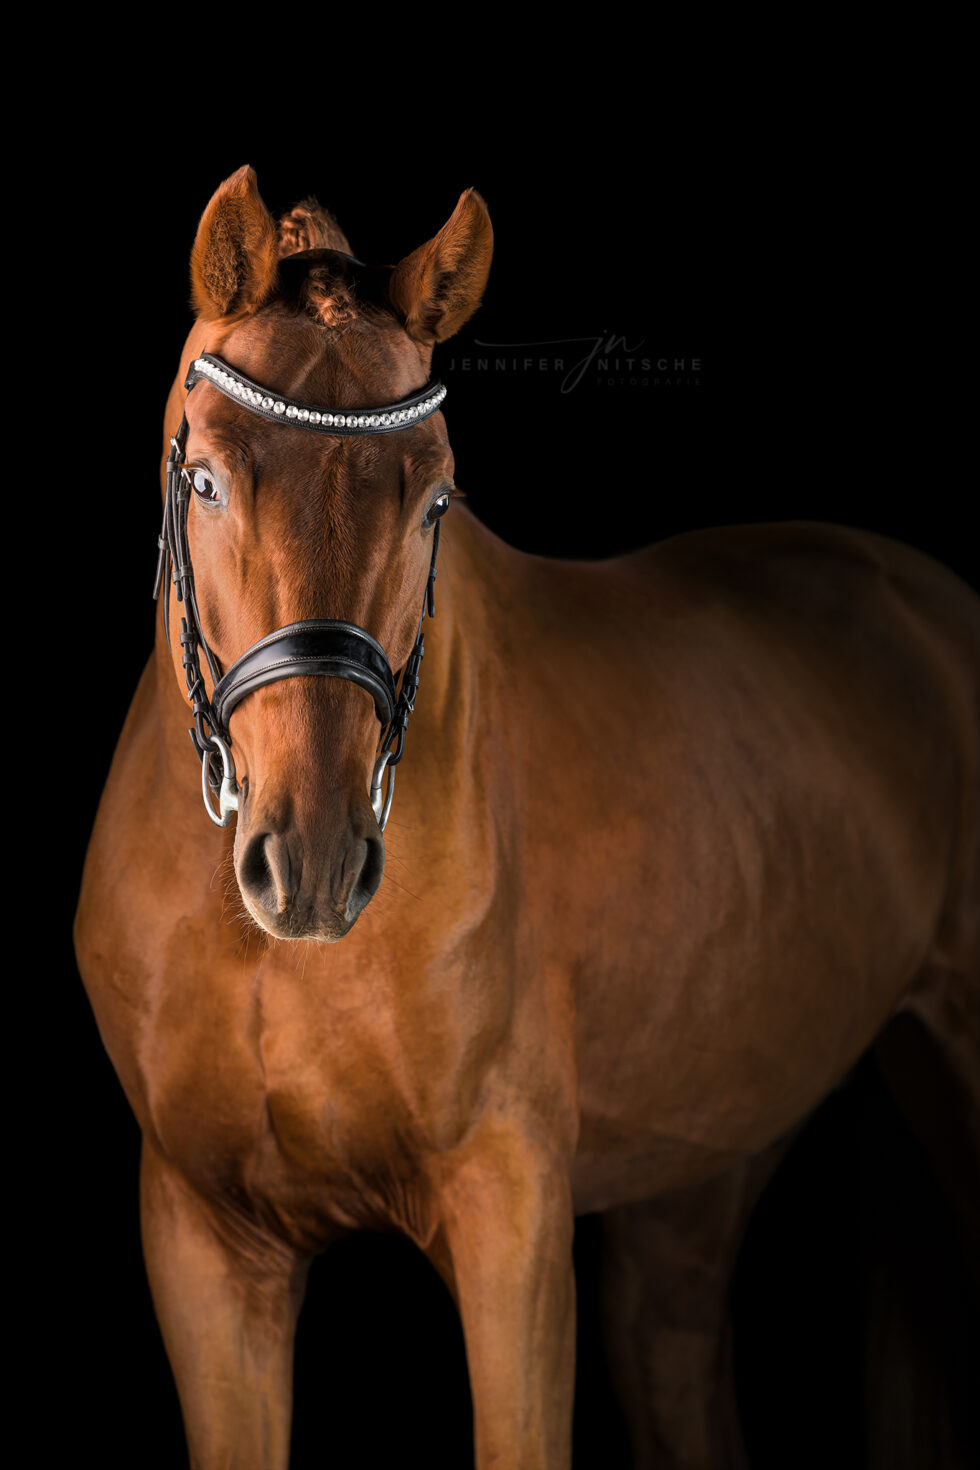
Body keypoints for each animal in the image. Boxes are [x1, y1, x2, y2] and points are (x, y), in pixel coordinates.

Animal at [74, 165, 980, 1469]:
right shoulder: (205, 1242)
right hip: (699, 1166)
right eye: (202, 480)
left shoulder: (510, 1222)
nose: (312, 863)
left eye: (435, 497)